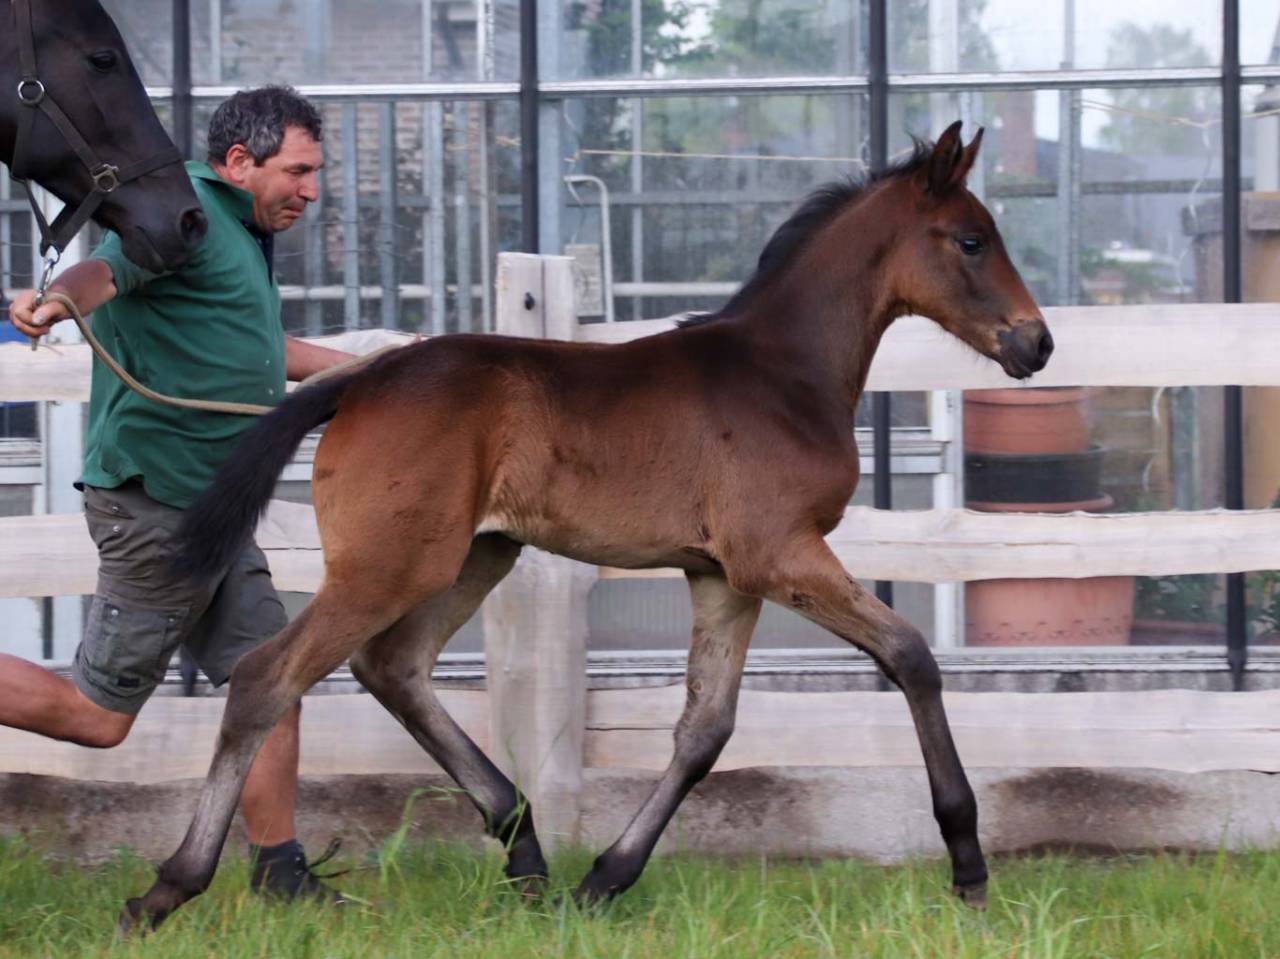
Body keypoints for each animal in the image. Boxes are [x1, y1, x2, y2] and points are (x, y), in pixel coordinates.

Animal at [121, 121, 1052, 931]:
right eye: (972, 240)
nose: (1036, 344)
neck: (783, 372)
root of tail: (362, 379)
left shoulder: (723, 573)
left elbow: (705, 729)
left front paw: (606, 877)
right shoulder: (779, 553)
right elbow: (910, 655)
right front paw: (969, 864)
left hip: (475, 555)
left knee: (394, 667)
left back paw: (527, 850)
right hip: (389, 564)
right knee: (267, 677)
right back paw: (166, 888)